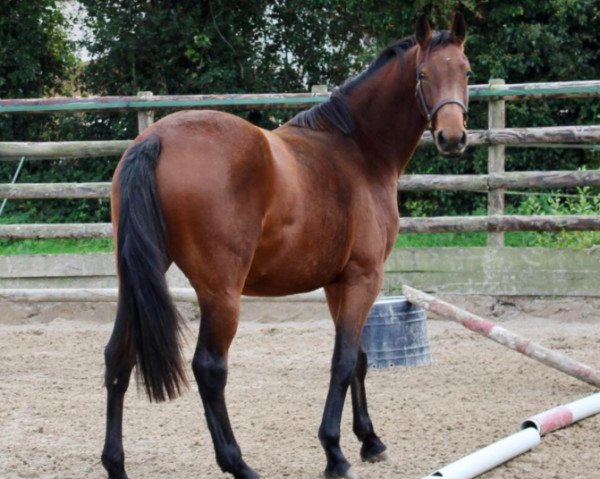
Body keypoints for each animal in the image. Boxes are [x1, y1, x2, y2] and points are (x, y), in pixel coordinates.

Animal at [101, 11, 472, 479]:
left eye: (466, 72)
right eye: (423, 74)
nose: (452, 137)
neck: (357, 150)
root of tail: (156, 139)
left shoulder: (338, 283)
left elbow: (359, 359)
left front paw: (369, 439)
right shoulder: (364, 277)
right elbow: (343, 362)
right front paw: (334, 452)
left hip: (132, 281)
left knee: (118, 357)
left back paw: (116, 464)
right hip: (221, 294)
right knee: (209, 368)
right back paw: (238, 464)